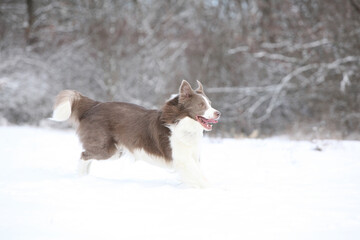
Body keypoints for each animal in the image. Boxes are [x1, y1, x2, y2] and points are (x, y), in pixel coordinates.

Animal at [50, 80, 219, 188]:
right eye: (201, 105)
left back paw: (86, 178)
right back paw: (80, 178)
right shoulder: (182, 159)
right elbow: (200, 178)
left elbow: (199, 174)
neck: (183, 123)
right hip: (106, 149)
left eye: (210, 104)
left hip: (113, 151)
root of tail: (94, 105)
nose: (218, 113)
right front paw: (213, 189)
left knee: (87, 157)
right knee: (84, 155)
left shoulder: (193, 157)